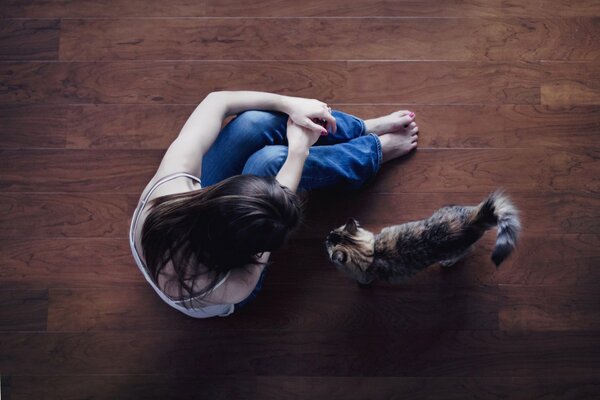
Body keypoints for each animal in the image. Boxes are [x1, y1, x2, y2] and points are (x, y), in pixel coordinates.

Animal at [326, 191, 516, 284]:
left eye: (328, 244)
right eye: (332, 233)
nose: (326, 236)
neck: (372, 251)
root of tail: (473, 218)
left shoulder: (364, 276)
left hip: (458, 250)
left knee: (467, 252)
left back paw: (448, 262)